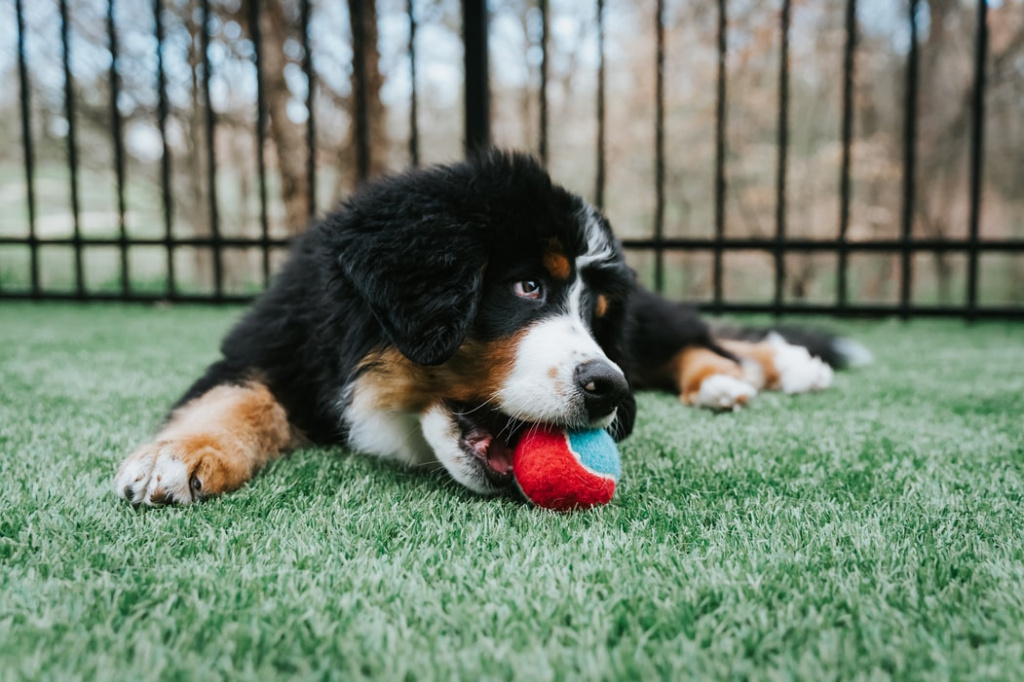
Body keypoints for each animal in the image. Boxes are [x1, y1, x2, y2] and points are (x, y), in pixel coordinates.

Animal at [112, 151, 864, 501]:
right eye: (527, 286)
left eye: (594, 314)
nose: (607, 388)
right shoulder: (275, 339)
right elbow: (237, 396)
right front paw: (175, 456)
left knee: (690, 337)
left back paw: (750, 374)